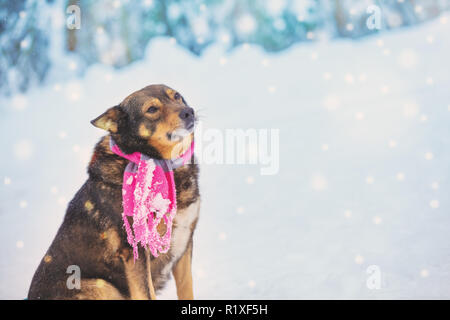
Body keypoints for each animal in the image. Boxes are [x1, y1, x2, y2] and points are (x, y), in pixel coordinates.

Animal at [26, 84, 199, 300]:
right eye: (152, 109)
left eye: (177, 96)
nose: (189, 111)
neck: (160, 163)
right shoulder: (135, 252)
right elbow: (147, 293)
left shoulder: (186, 240)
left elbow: (187, 289)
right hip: (101, 285)